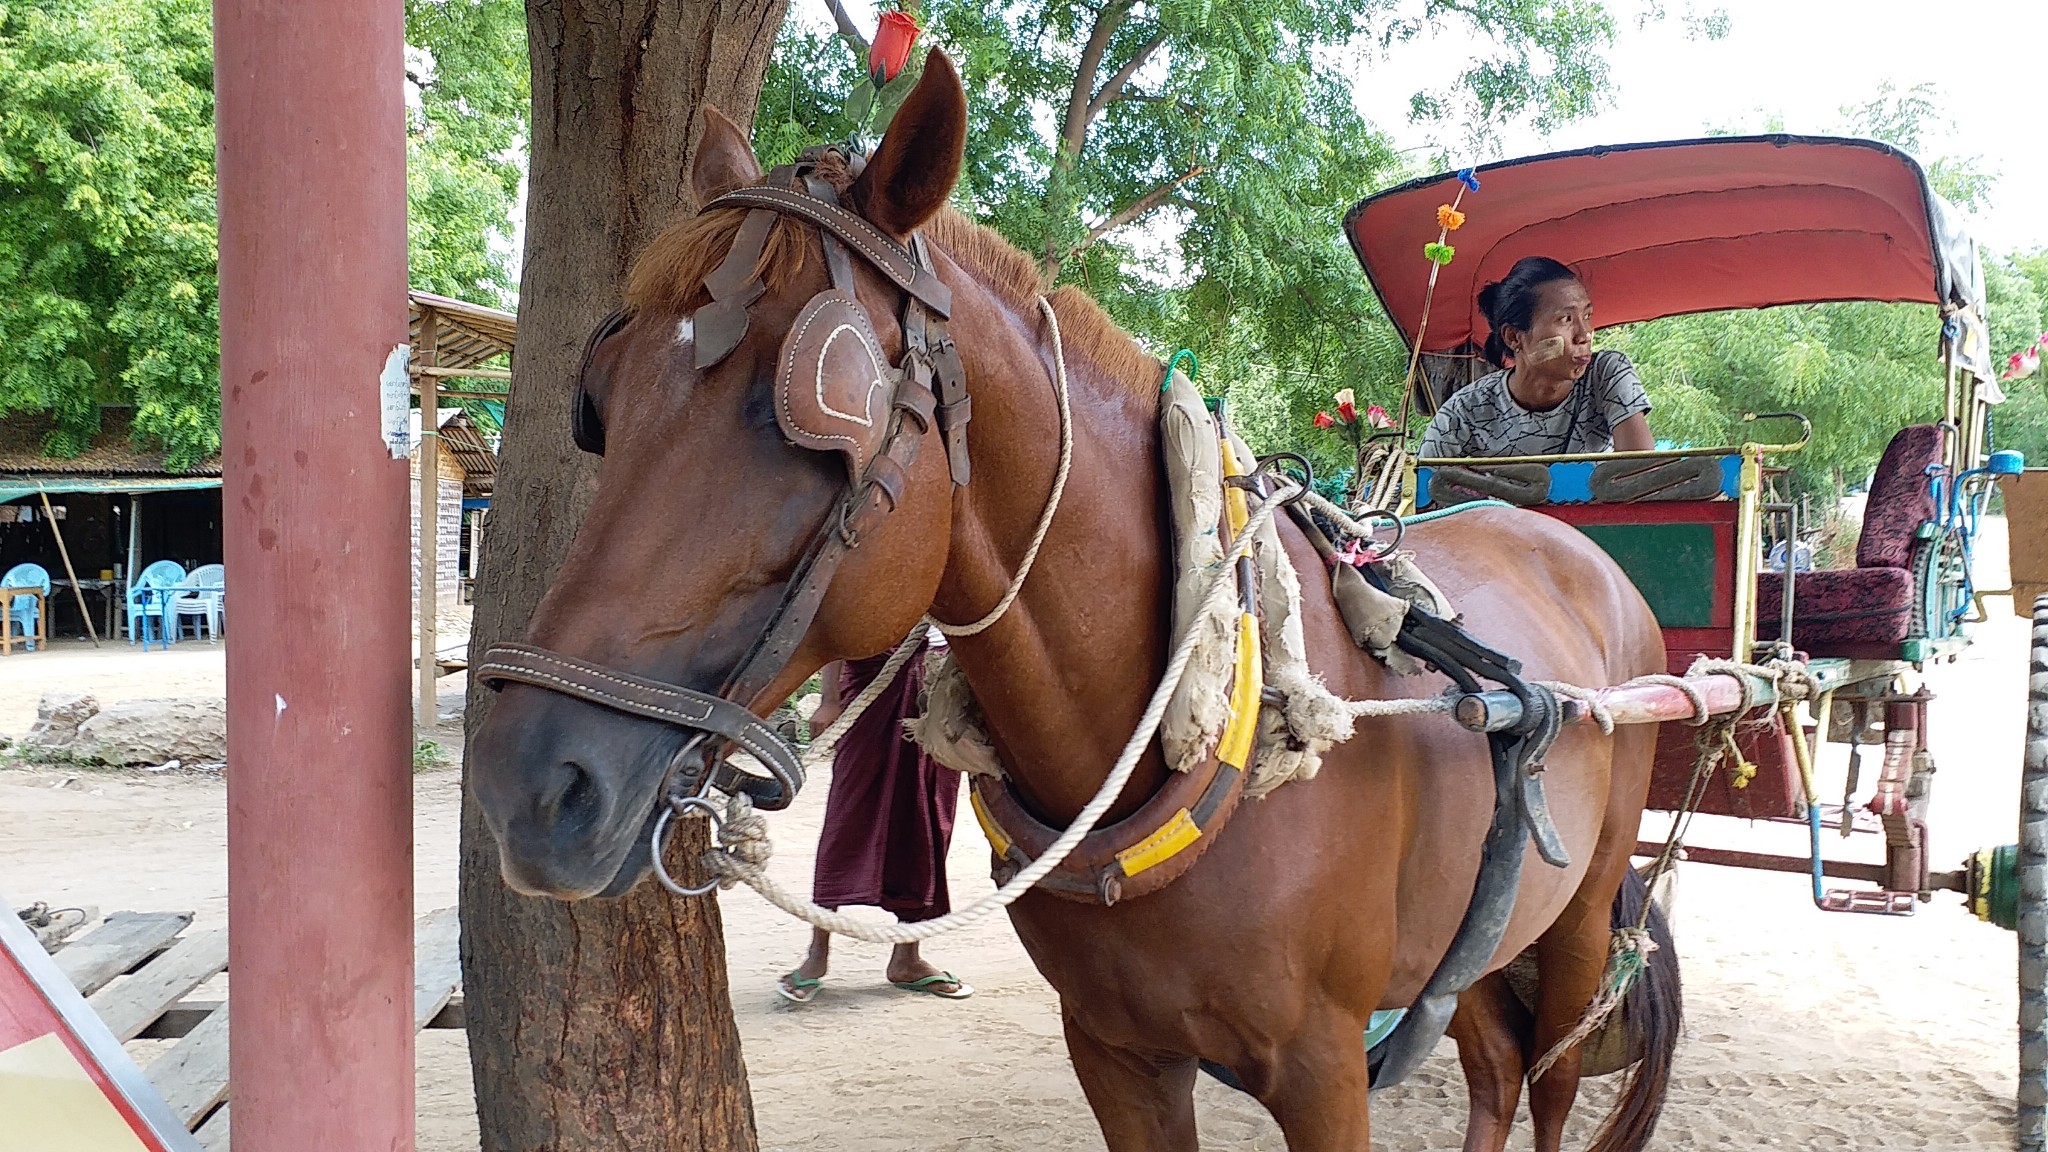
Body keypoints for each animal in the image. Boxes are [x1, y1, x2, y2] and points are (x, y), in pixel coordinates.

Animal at [468, 51, 1679, 1147]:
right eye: (603, 398)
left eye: (809, 413)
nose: (529, 786)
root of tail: (1558, 535)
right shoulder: (1113, 1052)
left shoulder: (1324, 1070)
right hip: (1471, 944)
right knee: (1493, 1067)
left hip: (1578, 912)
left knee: (1550, 1079)